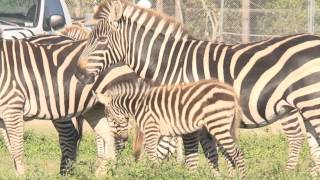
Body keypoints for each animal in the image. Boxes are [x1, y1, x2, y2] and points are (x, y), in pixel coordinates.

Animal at [95, 78, 245, 177]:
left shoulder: (151, 130)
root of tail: (232, 92)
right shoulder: (161, 133)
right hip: (220, 127)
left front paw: (154, 174)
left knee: (238, 154)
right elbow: (156, 154)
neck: (138, 105)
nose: (123, 138)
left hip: (218, 125)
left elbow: (151, 153)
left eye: (109, 118)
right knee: (229, 155)